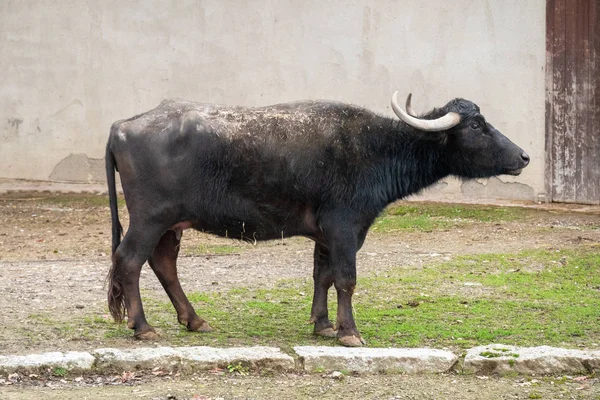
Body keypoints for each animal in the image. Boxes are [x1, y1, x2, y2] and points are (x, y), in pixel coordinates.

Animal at [105, 92, 528, 346]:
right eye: (476, 126)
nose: (523, 156)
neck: (376, 149)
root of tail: (122, 126)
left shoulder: (326, 236)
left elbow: (322, 276)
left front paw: (323, 325)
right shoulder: (345, 228)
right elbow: (346, 279)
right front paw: (349, 332)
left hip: (171, 225)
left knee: (163, 263)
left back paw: (194, 319)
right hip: (150, 217)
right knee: (129, 260)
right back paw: (143, 326)